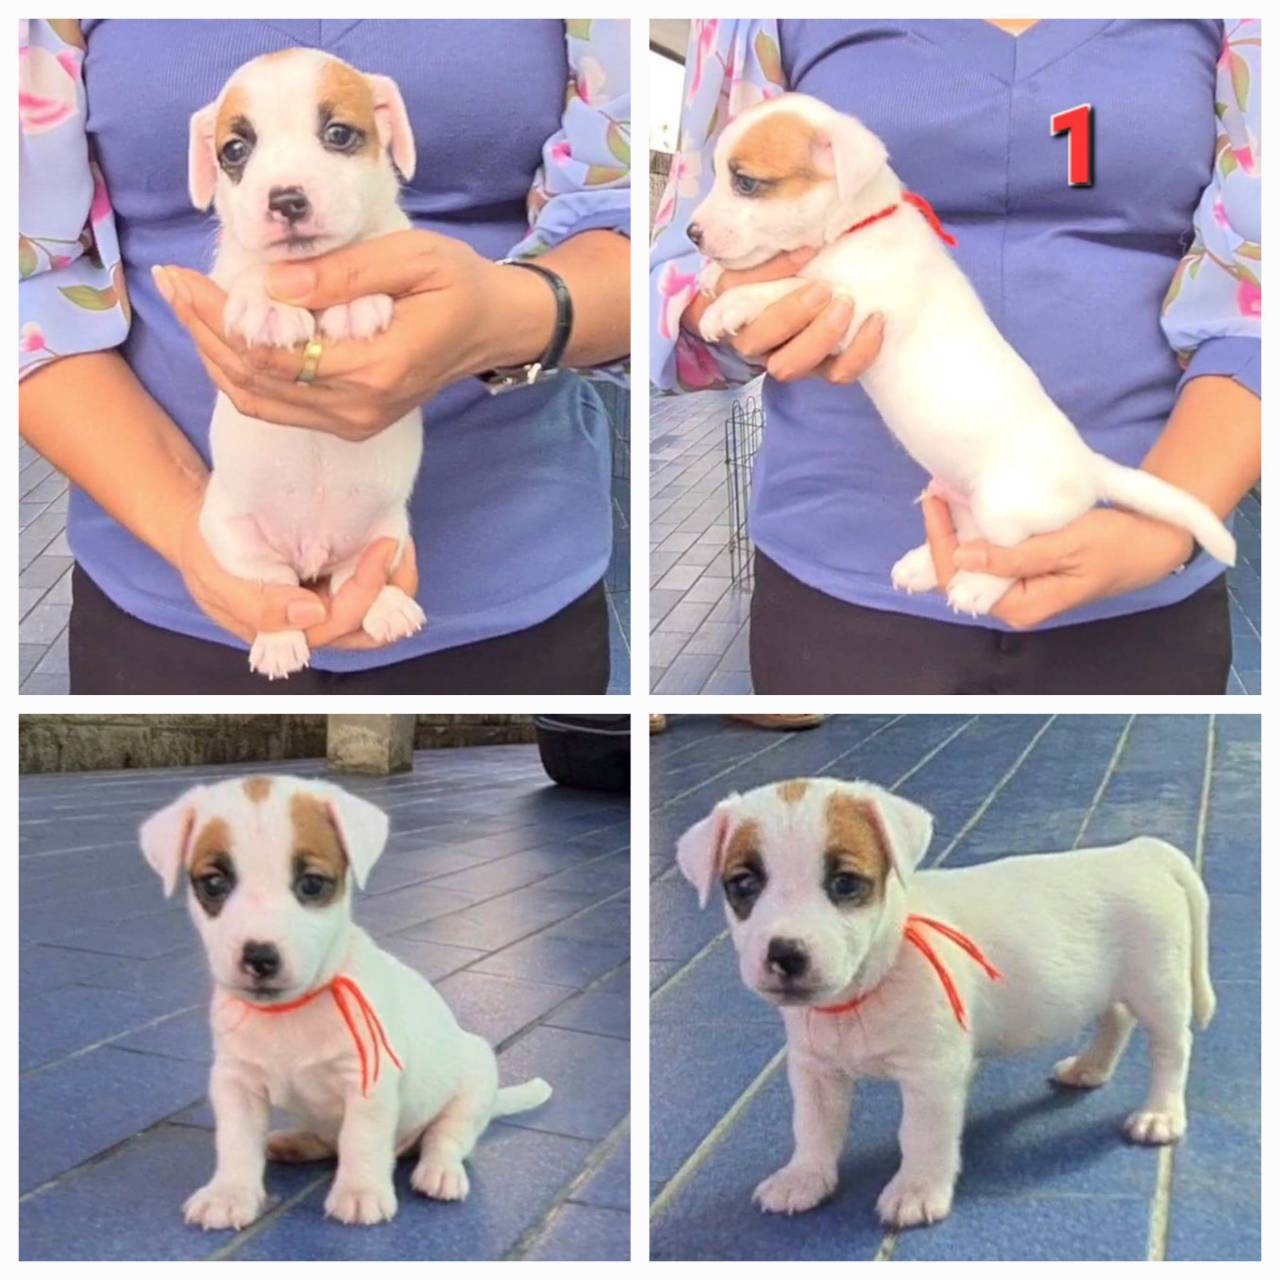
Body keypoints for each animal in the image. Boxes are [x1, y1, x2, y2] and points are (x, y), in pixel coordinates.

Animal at [140, 774, 551, 1229]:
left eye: (311, 884)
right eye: (213, 884)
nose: (260, 957)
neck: (292, 1011)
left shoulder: (368, 1083)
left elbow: (361, 1139)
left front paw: (360, 1191)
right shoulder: (235, 1082)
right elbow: (235, 1143)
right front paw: (229, 1193)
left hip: (474, 1085)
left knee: (445, 1138)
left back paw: (439, 1171)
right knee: (329, 1142)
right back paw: (293, 1142)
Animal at [183, 49, 425, 679]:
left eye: (338, 134)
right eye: (234, 150)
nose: (286, 199)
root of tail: (312, 552)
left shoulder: (390, 242)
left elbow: (366, 251)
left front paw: (355, 303)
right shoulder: (232, 268)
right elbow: (252, 271)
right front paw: (270, 305)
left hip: (386, 533)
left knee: (358, 576)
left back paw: (387, 607)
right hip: (236, 541)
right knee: (275, 590)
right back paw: (278, 638)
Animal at [676, 776, 1214, 1228]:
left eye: (845, 884)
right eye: (744, 885)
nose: (786, 953)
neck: (873, 977)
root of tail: (1142, 852)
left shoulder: (931, 1075)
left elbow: (921, 1135)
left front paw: (916, 1190)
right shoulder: (816, 1072)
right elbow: (812, 1128)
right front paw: (804, 1176)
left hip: (1158, 986)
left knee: (1172, 1049)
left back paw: (1160, 1114)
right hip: (1114, 985)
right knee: (1116, 1020)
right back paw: (1090, 1067)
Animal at [690, 94, 1235, 617]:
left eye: (745, 182)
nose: (693, 233)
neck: (857, 227)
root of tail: (1087, 465)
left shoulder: (855, 306)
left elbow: (791, 285)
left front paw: (734, 302)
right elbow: (784, 274)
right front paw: (715, 279)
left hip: (1006, 508)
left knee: (1006, 556)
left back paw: (975, 586)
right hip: (961, 497)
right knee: (966, 539)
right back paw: (921, 565)